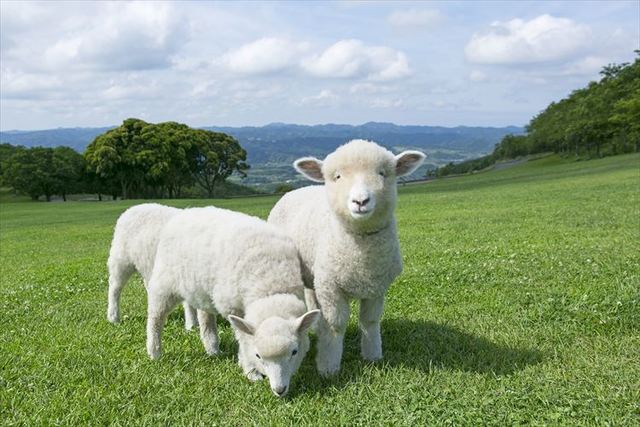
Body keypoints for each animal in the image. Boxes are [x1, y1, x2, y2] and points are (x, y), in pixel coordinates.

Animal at [107, 204, 198, 332]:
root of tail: (131, 209)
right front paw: (192, 326)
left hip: (147, 263)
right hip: (121, 259)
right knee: (114, 288)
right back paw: (113, 317)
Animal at [142, 207, 318, 398]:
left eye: (294, 352)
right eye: (258, 356)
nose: (279, 390)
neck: (270, 287)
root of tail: (186, 211)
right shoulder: (232, 308)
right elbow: (243, 339)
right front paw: (250, 371)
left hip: (202, 289)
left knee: (205, 316)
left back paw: (212, 349)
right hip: (164, 282)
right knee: (155, 317)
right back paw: (154, 352)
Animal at [268, 139, 424, 376]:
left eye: (382, 173)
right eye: (338, 176)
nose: (360, 201)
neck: (360, 257)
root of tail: (299, 188)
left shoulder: (377, 287)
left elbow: (370, 321)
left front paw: (373, 355)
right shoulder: (330, 288)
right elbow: (335, 325)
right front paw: (328, 366)